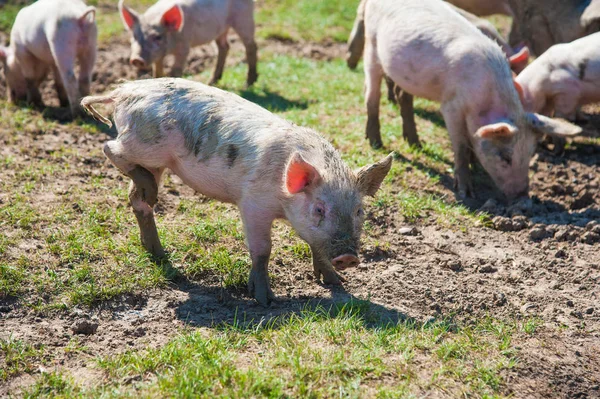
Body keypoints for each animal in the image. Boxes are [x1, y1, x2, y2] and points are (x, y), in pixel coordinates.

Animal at [81, 79, 394, 308]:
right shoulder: (253, 204)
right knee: (109, 147)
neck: (283, 201)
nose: (348, 257)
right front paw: (266, 300)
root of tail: (123, 91)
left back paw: (157, 241)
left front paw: (336, 283)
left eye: (359, 211)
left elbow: (315, 244)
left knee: (139, 199)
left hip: (153, 160)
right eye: (319, 209)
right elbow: (263, 250)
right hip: (144, 144)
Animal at [118, 0, 256, 86]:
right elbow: (157, 71)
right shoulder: (158, 55)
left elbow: (176, 70)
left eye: (157, 37)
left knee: (251, 45)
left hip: (244, 18)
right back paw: (211, 82)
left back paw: (248, 83)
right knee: (224, 47)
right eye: (135, 36)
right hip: (221, 29)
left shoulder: (184, 46)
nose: (137, 59)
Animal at [360, 0, 580, 199]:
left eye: (530, 153)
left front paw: (475, 164)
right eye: (505, 157)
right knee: (372, 94)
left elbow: (471, 138)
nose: (521, 194)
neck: (485, 98)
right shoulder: (451, 105)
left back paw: (416, 144)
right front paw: (467, 193)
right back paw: (376, 142)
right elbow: (460, 145)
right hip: (371, 44)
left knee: (402, 96)